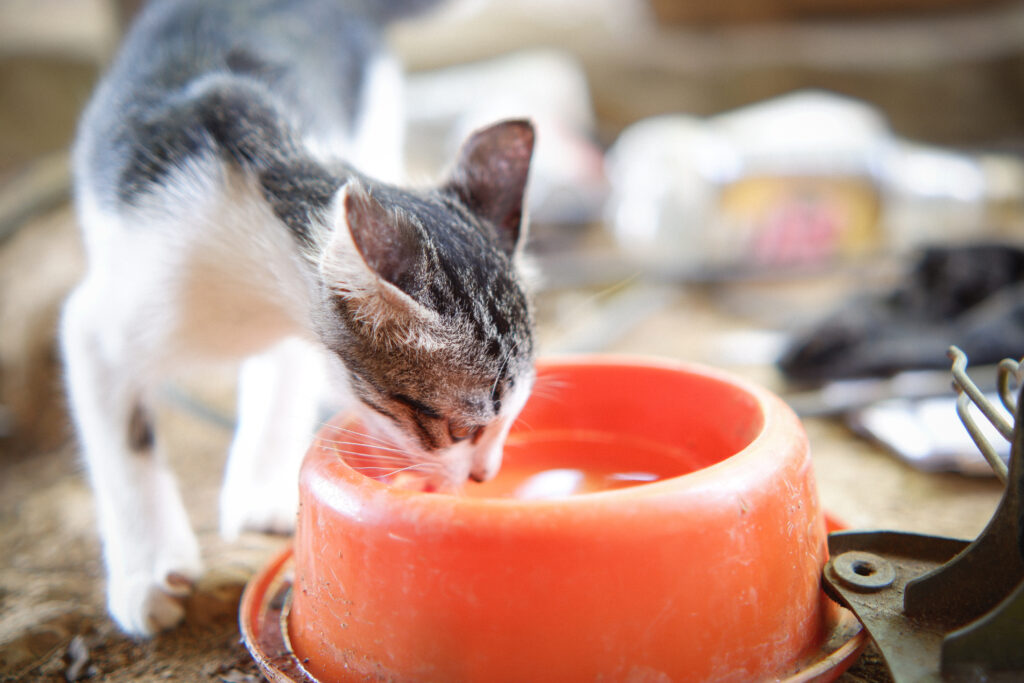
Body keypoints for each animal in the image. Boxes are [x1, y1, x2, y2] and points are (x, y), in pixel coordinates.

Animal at [58, 0, 536, 638]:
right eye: (461, 429)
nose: (487, 473)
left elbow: (285, 372)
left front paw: (264, 486)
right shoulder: (102, 322)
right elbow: (123, 445)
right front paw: (149, 573)